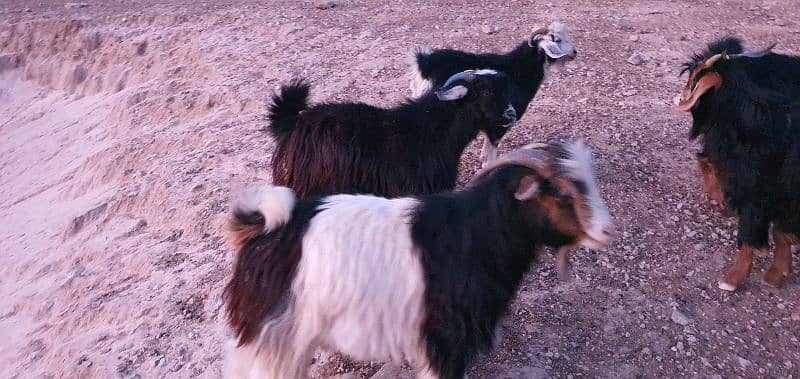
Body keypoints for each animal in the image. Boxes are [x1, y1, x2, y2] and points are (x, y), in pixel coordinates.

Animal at [223, 142, 612, 379]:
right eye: (561, 193)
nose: (608, 230)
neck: (476, 234)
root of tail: (258, 230)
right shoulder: (445, 341)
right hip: (276, 340)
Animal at [410, 21, 580, 165]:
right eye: (557, 40)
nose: (574, 52)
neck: (517, 71)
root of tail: (424, 63)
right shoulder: (500, 122)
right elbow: (491, 153)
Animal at [676, 37, 800, 290]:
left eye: (694, 78)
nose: (681, 98)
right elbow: (778, 231)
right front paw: (777, 272)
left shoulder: (758, 191)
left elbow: (756, 231)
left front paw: (734, 279)